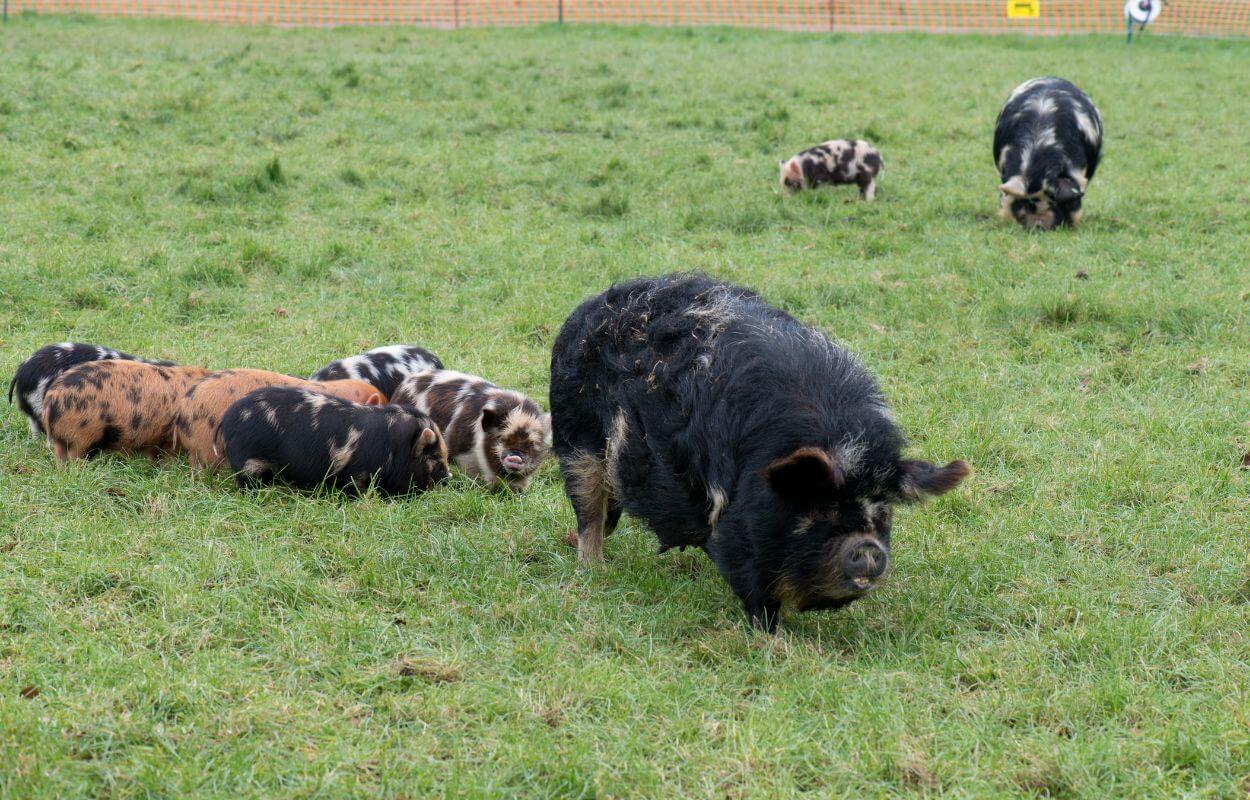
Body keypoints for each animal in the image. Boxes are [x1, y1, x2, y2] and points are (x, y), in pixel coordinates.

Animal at [552, 275, 970, 630]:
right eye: (819, 508)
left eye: (882, 514)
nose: (868, 548)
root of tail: (588, 307)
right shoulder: (735, 528)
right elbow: (756, 593)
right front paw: (777, 643)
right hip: (575, 442)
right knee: (590, 514)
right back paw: (594, 570)